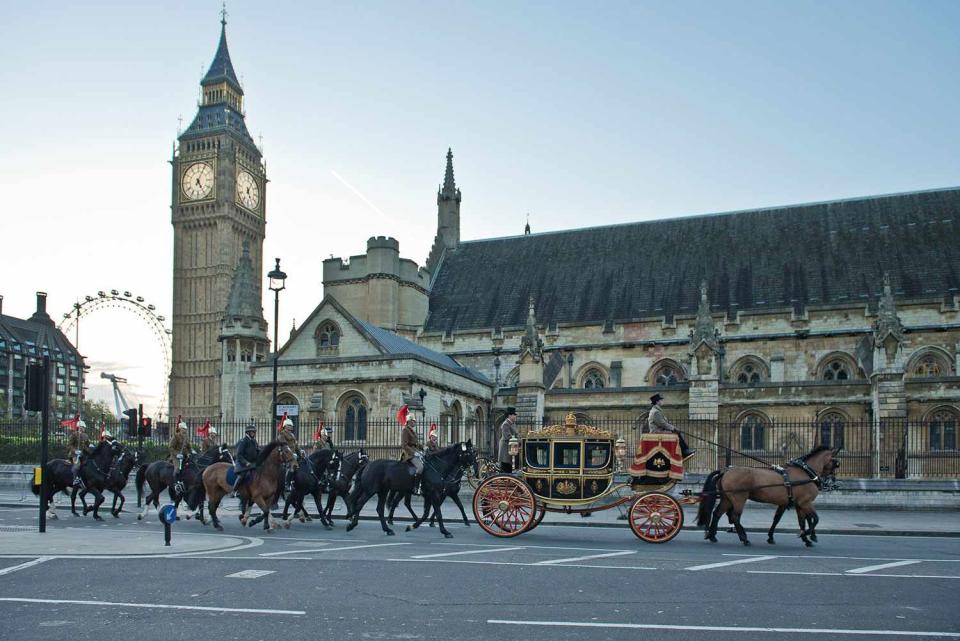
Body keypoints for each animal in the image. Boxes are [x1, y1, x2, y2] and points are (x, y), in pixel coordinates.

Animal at [348, 440, 476, 536]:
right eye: (469, 452)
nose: (475, 470)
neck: (437, 467)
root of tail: (368, 464)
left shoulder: (430, 495)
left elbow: (427, 513)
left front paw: (412, 526)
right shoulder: (434, 493)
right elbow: (438, 513)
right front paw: (445, 531)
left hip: (383, 491)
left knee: (380, 509)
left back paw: (387, 529)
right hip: (371, 490)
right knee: (360, 504)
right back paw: (352, 525)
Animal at [692, 444, 836, 544]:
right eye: (836, 463)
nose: (832, 482)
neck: (805, 473)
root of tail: (725, 471)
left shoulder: (794, 504)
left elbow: (790, 520)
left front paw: (804, 538)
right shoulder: (805, 503)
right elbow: (815, 519)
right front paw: (805, 535)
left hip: (727, 498)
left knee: (717, 514)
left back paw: (712, 536)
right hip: (739, 498)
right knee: (735, 517)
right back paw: (744, 538)